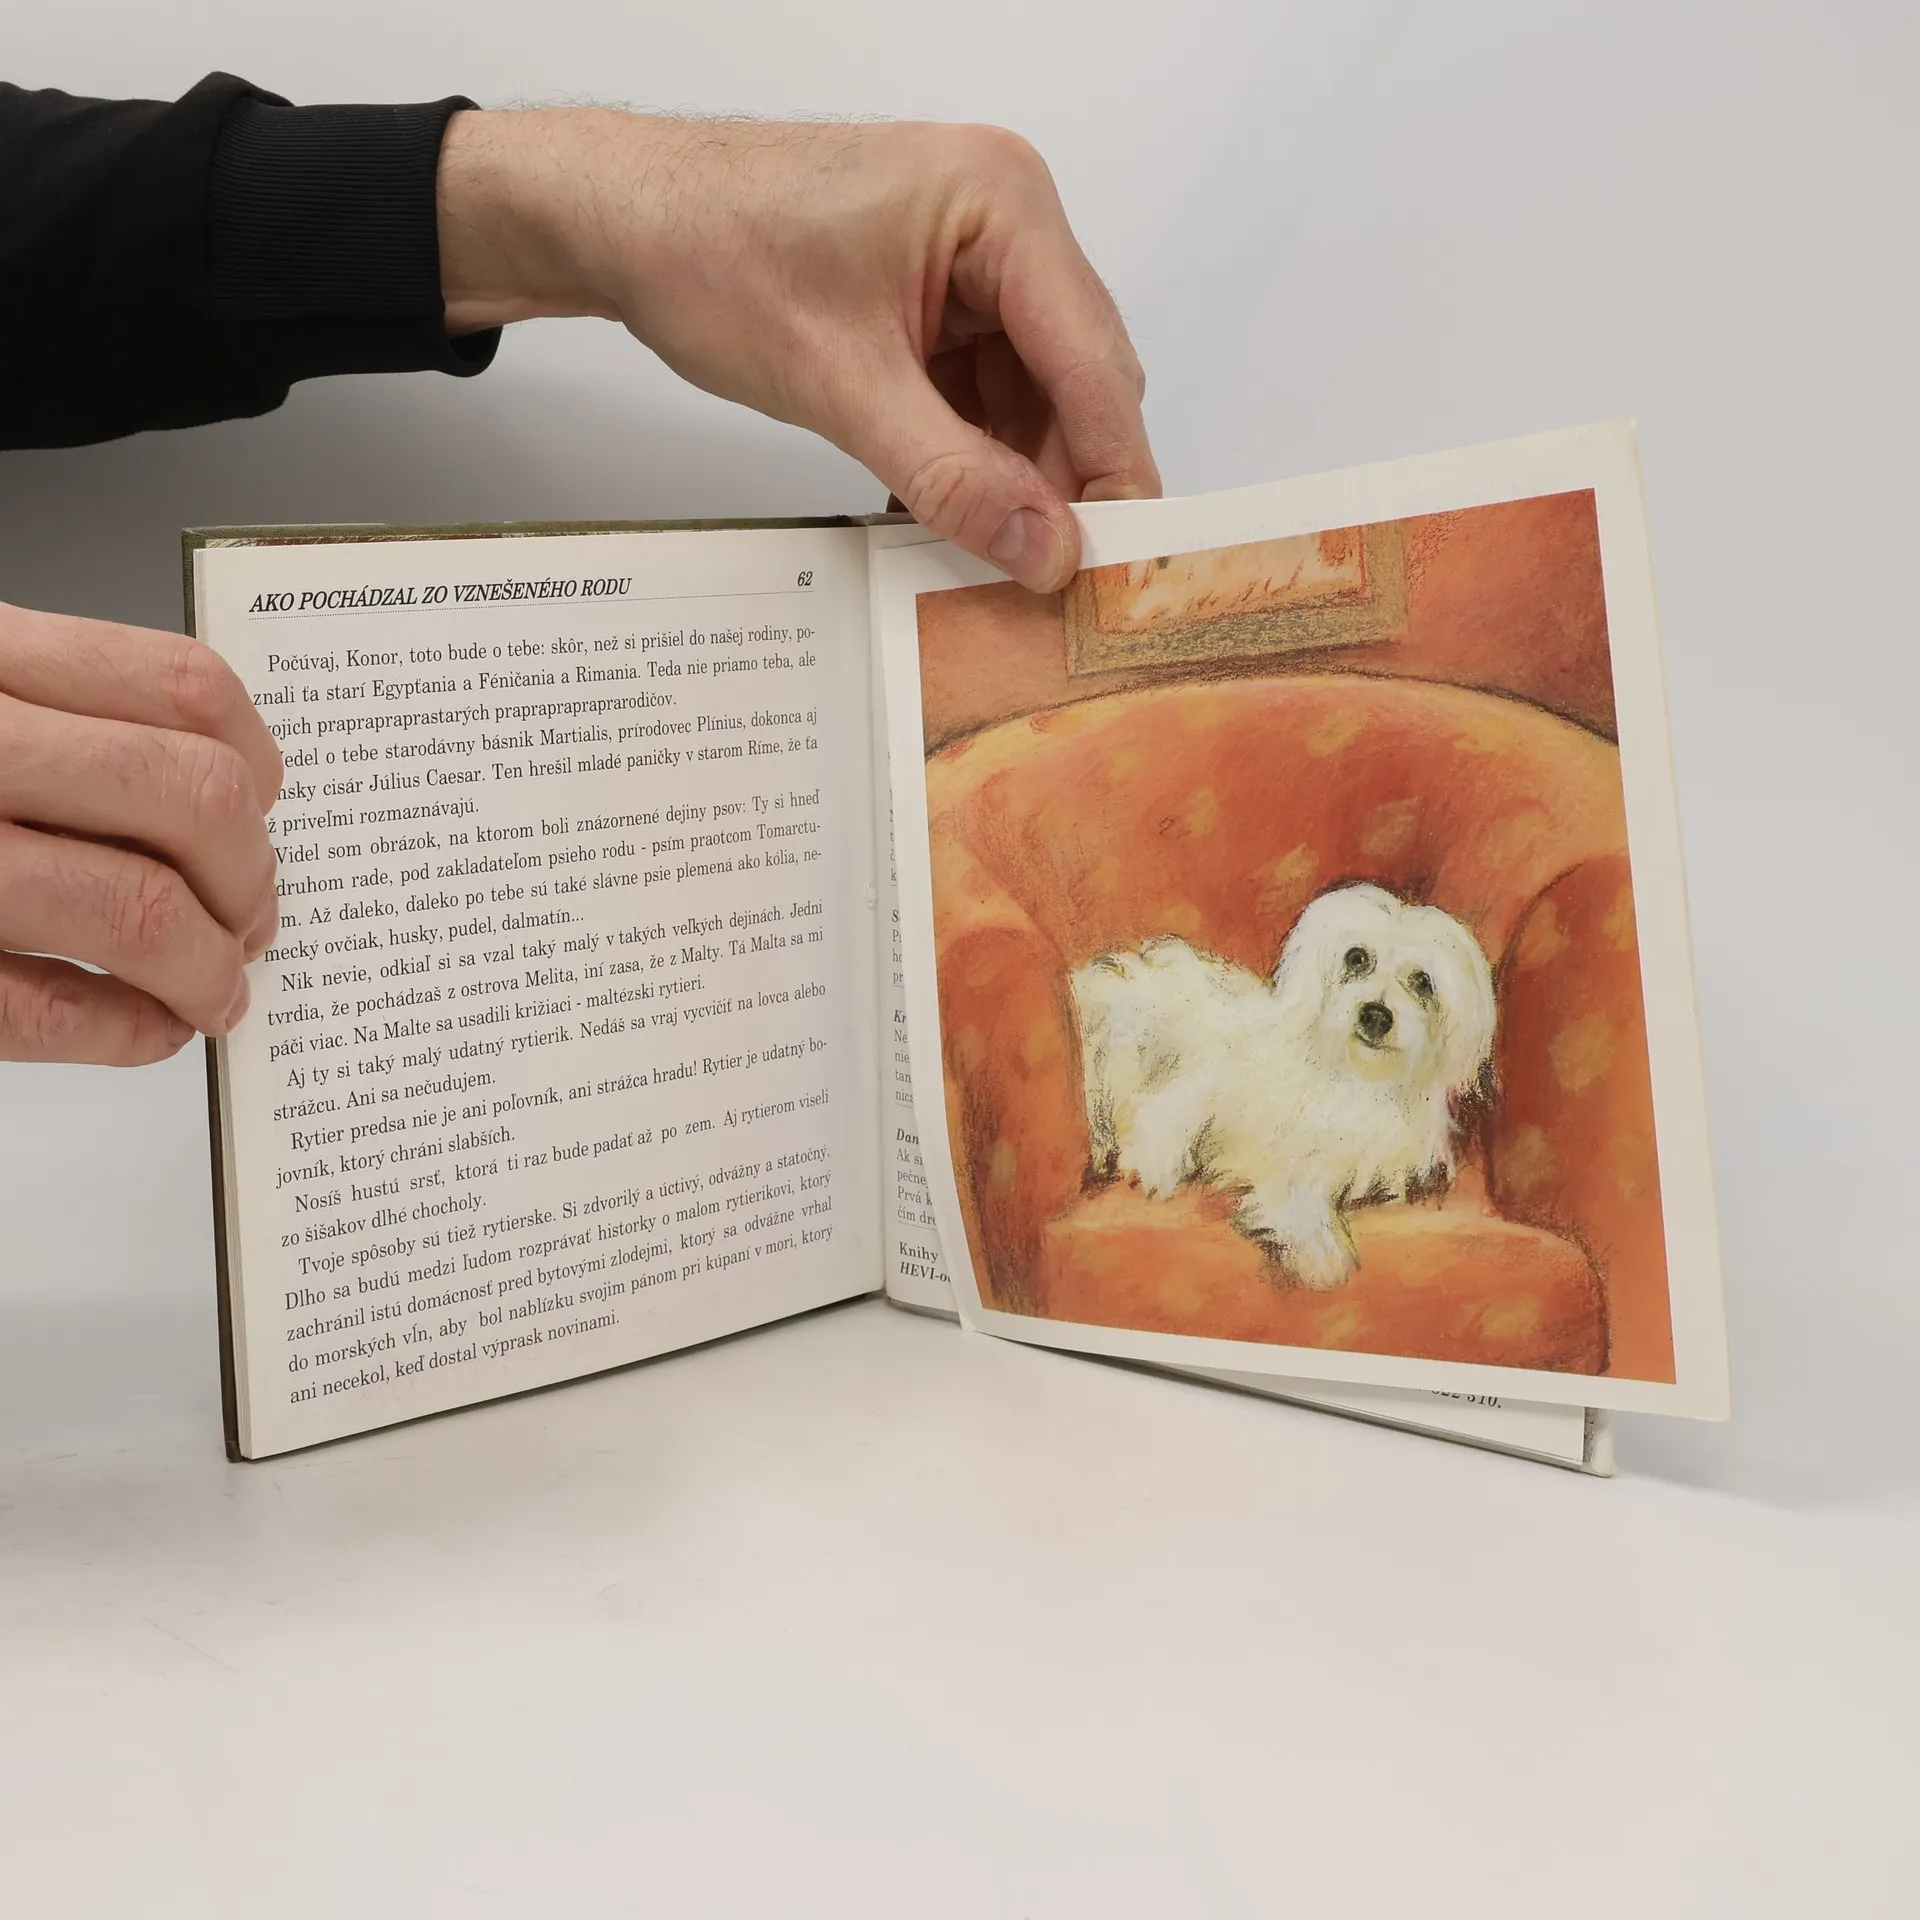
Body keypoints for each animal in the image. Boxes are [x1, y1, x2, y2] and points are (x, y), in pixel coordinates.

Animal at [1069, 884, 1497, 1289]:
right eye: (1356, 958)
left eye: (1422, 982)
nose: (1376, 1015)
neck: (1355, 1076)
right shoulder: (1287, 1160)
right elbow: (1296, 1198)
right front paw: (1323, 1256)